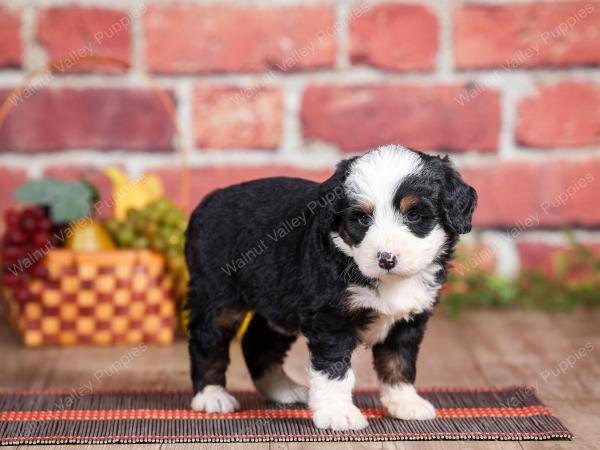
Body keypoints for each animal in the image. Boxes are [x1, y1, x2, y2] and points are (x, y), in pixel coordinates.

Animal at [185, 146, 476, 430]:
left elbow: (400, 361)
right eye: (362, 219)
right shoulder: (331, 318)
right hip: (218, 297)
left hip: (277, 300)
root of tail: (208, 202)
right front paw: (338, 413)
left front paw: (405, 402)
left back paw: (283, 390)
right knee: (207, 341)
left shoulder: (407, 321)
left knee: (258, 342)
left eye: (414, 215)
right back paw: (212, 396)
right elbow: (334, 369)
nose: (386, 259)